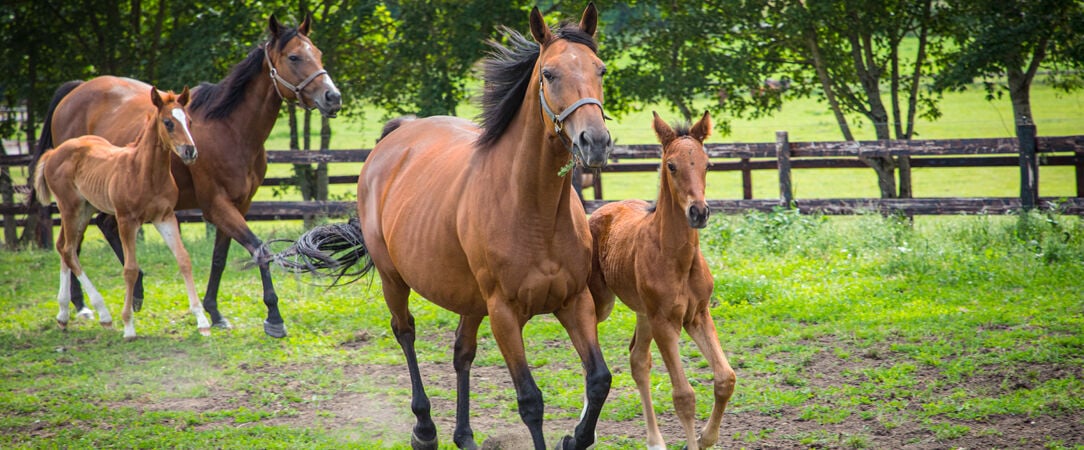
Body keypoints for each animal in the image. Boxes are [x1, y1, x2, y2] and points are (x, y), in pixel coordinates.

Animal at [34, 87, 209, 342]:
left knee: (64, 247)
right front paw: (128, 326)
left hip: (85, 209)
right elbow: (130, 269)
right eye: (168, 122)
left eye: (189, 121)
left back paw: (64, 314)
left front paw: (202, 321)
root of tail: (54, 152)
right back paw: (103, 314)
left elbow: (183, 259)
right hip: (70, 208)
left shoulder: (165, 217)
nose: (190, 151)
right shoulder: (126, 220)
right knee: (68, 250)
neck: (145, 172)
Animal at [267, 4, 615, 450]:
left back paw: (463, 435)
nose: (595, 142)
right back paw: (425, 429)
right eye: (549, 74)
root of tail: (397, 136)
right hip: (394, 280)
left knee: (461, 352)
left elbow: (598, 380)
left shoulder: (574, 301)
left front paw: (572, 439)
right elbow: (530, 401)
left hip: (470, 300)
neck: (534, 213)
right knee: (405, 333)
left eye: (600, 69)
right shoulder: (505, 314)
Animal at [589, 111, 741, 448]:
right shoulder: (665, 323)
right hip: (603, 304)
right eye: (671, 165)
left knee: (638, 360)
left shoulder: (697, 315)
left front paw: (706, 437)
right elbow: (684, 396)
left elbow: (725, 378)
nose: (699, 212)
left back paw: (655, 440)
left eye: (708, 164)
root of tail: (599, 210)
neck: (678, 258)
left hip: (643, 313)